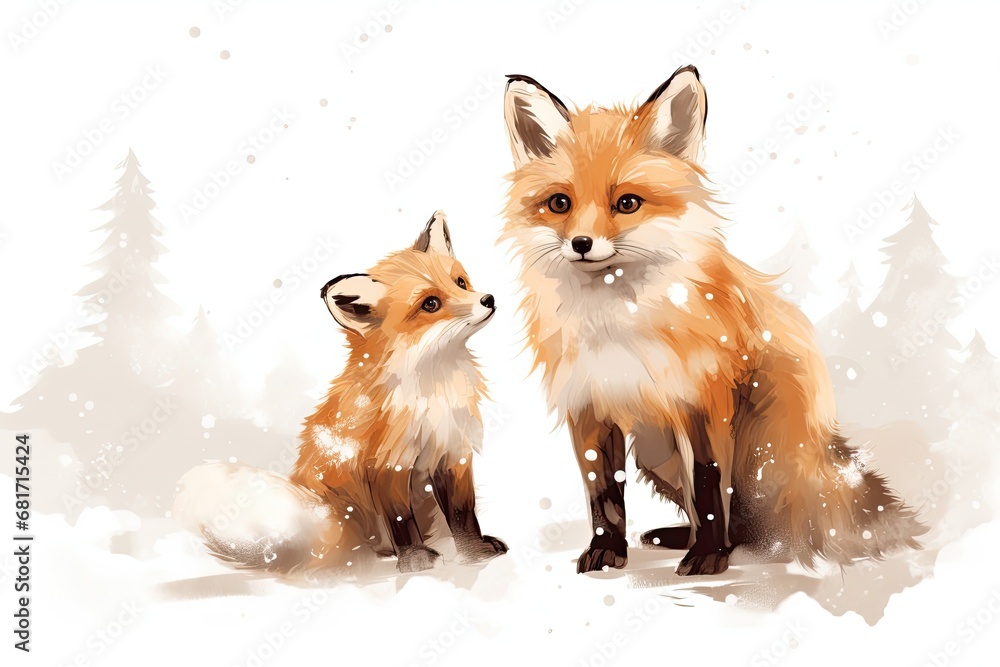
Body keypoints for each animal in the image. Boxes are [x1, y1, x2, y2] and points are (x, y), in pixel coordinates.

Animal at [174, 212, 507, 574]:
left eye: (460, 282)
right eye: (430, 303)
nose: (488, 299)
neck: (434, 391)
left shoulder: (452, 452)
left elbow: (463, 513)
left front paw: (473, 553)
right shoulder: (387, 464)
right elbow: (401, 520)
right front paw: (415, 560)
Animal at [500, 65, 924, 576]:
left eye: (627, 203)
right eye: (559, 203)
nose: (581, 244)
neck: (617, 323)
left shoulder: (703, 399)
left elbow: (708, 483)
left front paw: (707, 556)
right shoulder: (588, 406)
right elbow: (603, 493)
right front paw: (607, 550)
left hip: (767, 450)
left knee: (779, 524)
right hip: (657, 453)